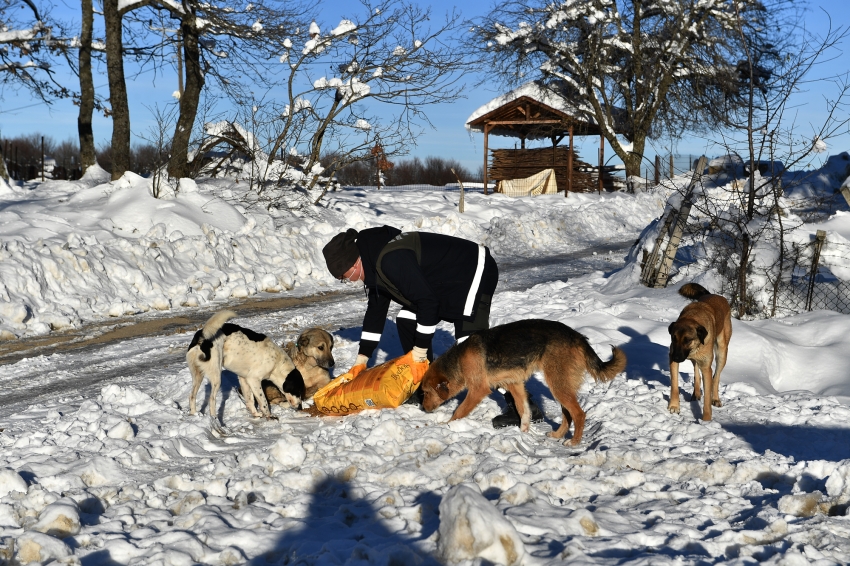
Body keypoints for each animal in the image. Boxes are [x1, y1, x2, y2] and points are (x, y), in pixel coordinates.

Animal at [420, 320, 628, 448]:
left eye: (426, 392)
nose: (424, 409)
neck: (458, 360)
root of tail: (577, 336)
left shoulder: (478, 390)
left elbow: (459, 411)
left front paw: (447, 425)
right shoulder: (514, 384)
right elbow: (523, 410)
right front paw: (523, 431)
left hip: (558, 385)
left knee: (579, 414)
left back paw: (574, 442)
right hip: (561, 386)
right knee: (567, 415)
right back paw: (557, 435)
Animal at [664, 284, 732, 422]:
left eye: (687, 340)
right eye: (674, 338)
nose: (676, 357)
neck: (692, 317)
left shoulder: (706, 366)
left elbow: (707, 398)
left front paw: (706, 420)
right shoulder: (674, 359)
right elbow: (674, 385)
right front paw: (674, 406)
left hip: (722, 351)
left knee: (716, 377)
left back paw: (715, 398)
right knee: (697, 372)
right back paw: (696, 394)